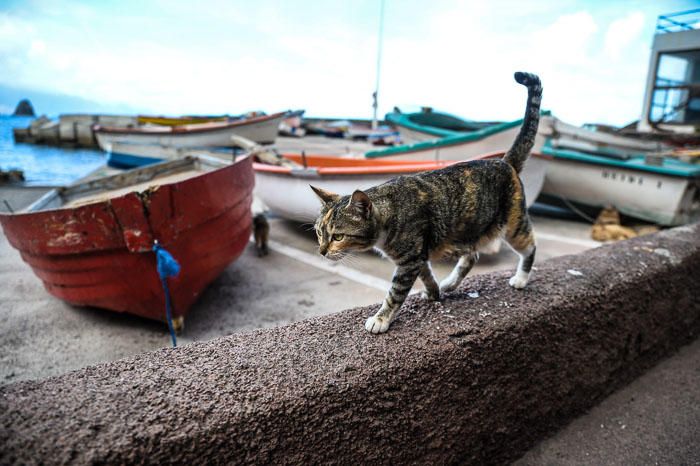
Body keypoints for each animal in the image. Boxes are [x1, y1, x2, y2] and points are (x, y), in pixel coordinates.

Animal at [310, 71, 540, 334]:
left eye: (338, 236)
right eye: (319, 233)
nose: (322, 251)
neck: (391, 211)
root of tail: (505, 162)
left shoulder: (410, 261)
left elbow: (395, 293)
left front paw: (380, 319)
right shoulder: (418, 256)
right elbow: (427, 275)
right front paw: (434, 292)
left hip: (513, 226)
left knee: (530, 247)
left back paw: (521, 279)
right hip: (467, 231)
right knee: (471, 257)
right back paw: (449, 283)